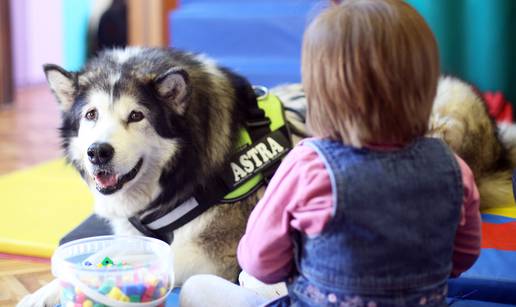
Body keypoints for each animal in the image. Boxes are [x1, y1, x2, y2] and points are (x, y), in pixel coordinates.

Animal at [19, 46, 306, 307]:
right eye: (91, 114)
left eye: (136, 115)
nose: (98, 152)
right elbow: (99, 254)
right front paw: (45, 292)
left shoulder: (213, 256)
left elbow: (146, 261)